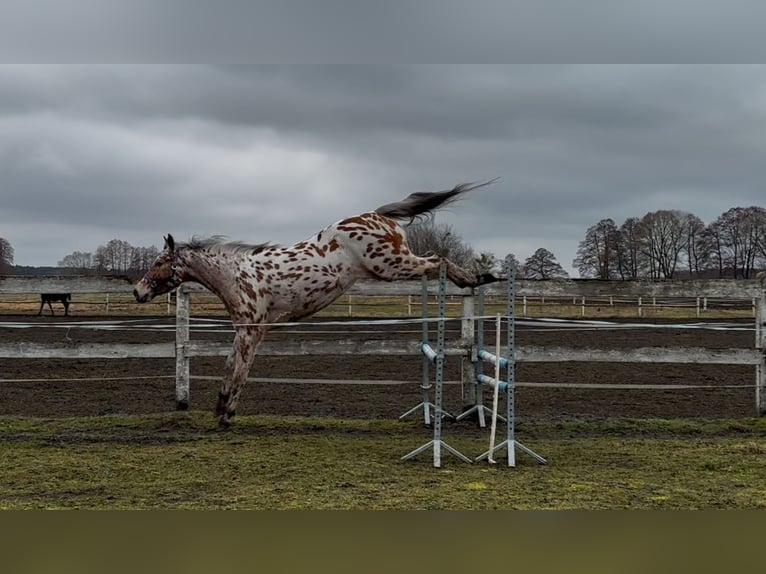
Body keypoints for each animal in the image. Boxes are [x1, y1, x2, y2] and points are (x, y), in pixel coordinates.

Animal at [132, 180, 504, 428]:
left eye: (158, 262)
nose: (138, 291)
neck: (237, 276)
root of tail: (375, 215)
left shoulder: (253, 331)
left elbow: (240, 371)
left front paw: (226, 415)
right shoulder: (245, 331)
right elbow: (229, 367)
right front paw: (221, 408)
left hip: (391, 265)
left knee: (437, 259)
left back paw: (477, 278)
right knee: (436, 260)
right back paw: (478, 278)